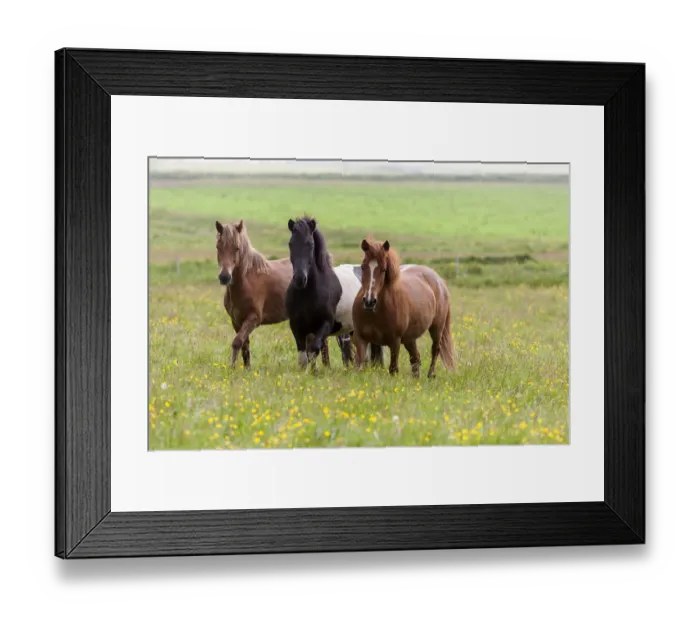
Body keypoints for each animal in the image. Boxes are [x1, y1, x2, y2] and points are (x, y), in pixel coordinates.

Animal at [215, 219, 293, 368]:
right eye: (218, 247)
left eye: (237, 248)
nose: (224, 277)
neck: (247, 282)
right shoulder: (236, 321)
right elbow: (245, 346)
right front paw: (246, 369)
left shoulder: (253, 319)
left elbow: (237, 342)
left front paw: (232, 368)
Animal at [352, 238, 456, 378]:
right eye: (363, 267)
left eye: (383, 269)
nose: (369, 301)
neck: (375, 313)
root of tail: (439, 280)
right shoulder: (360, 339)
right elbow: (359, 365)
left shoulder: (395, 342)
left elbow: (393, 369)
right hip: (410, 338)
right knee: (415, 358)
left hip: (437, 327)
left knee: (435, 349)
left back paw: (430, 375)